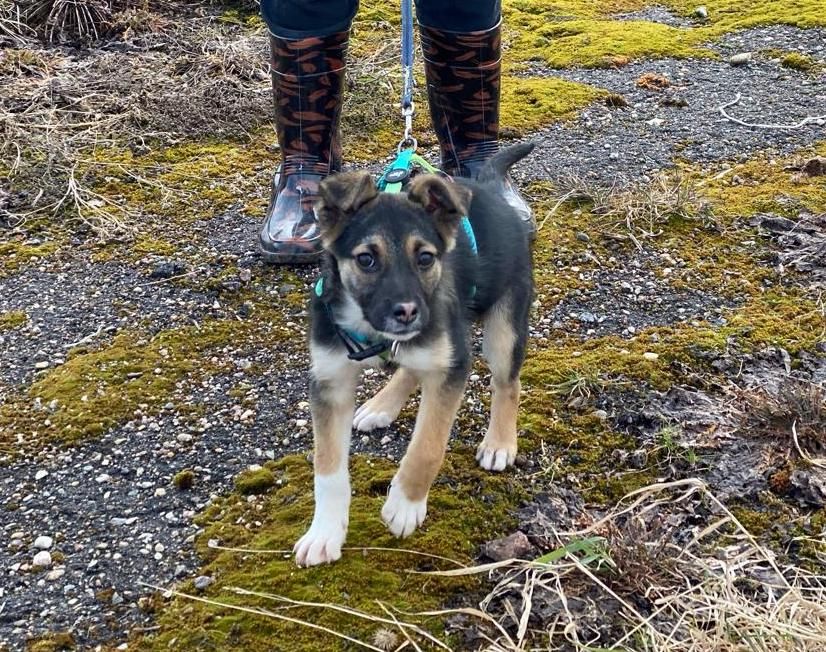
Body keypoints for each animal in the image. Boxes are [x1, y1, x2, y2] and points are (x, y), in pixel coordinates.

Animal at [294, 141, 536, 564]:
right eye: (366, 259)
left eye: (424, 258)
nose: (407, 312)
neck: (371, 328)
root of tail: (490, 191)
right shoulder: (329, 380)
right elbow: (327, 468)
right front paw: (324, 532)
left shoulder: (453, 367)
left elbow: (428, 446)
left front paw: (405, 504)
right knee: (410, 366)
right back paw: (381, 405)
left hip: (504, 325)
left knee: (508, 383)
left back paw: (499, 443)